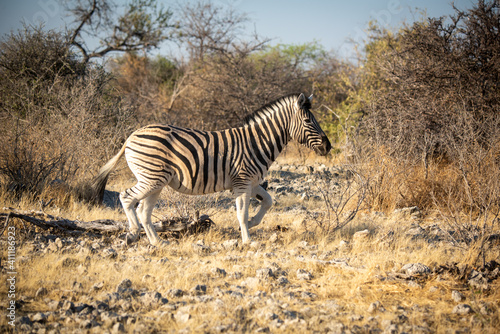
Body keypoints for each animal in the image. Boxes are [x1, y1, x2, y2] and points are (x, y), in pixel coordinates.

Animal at [94, 93, 332, 245]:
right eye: (308, 121)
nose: (328, 146)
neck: (257, 142)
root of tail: (132, 135)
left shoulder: (251, 182)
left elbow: (268, 201)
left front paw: (252, 224)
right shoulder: (242, 181)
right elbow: (242, 213)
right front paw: (248, 241)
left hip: (156, 182)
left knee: (144, 210)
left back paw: (158, 243)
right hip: (151, 178)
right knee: (126, 197)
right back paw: (133, 234)